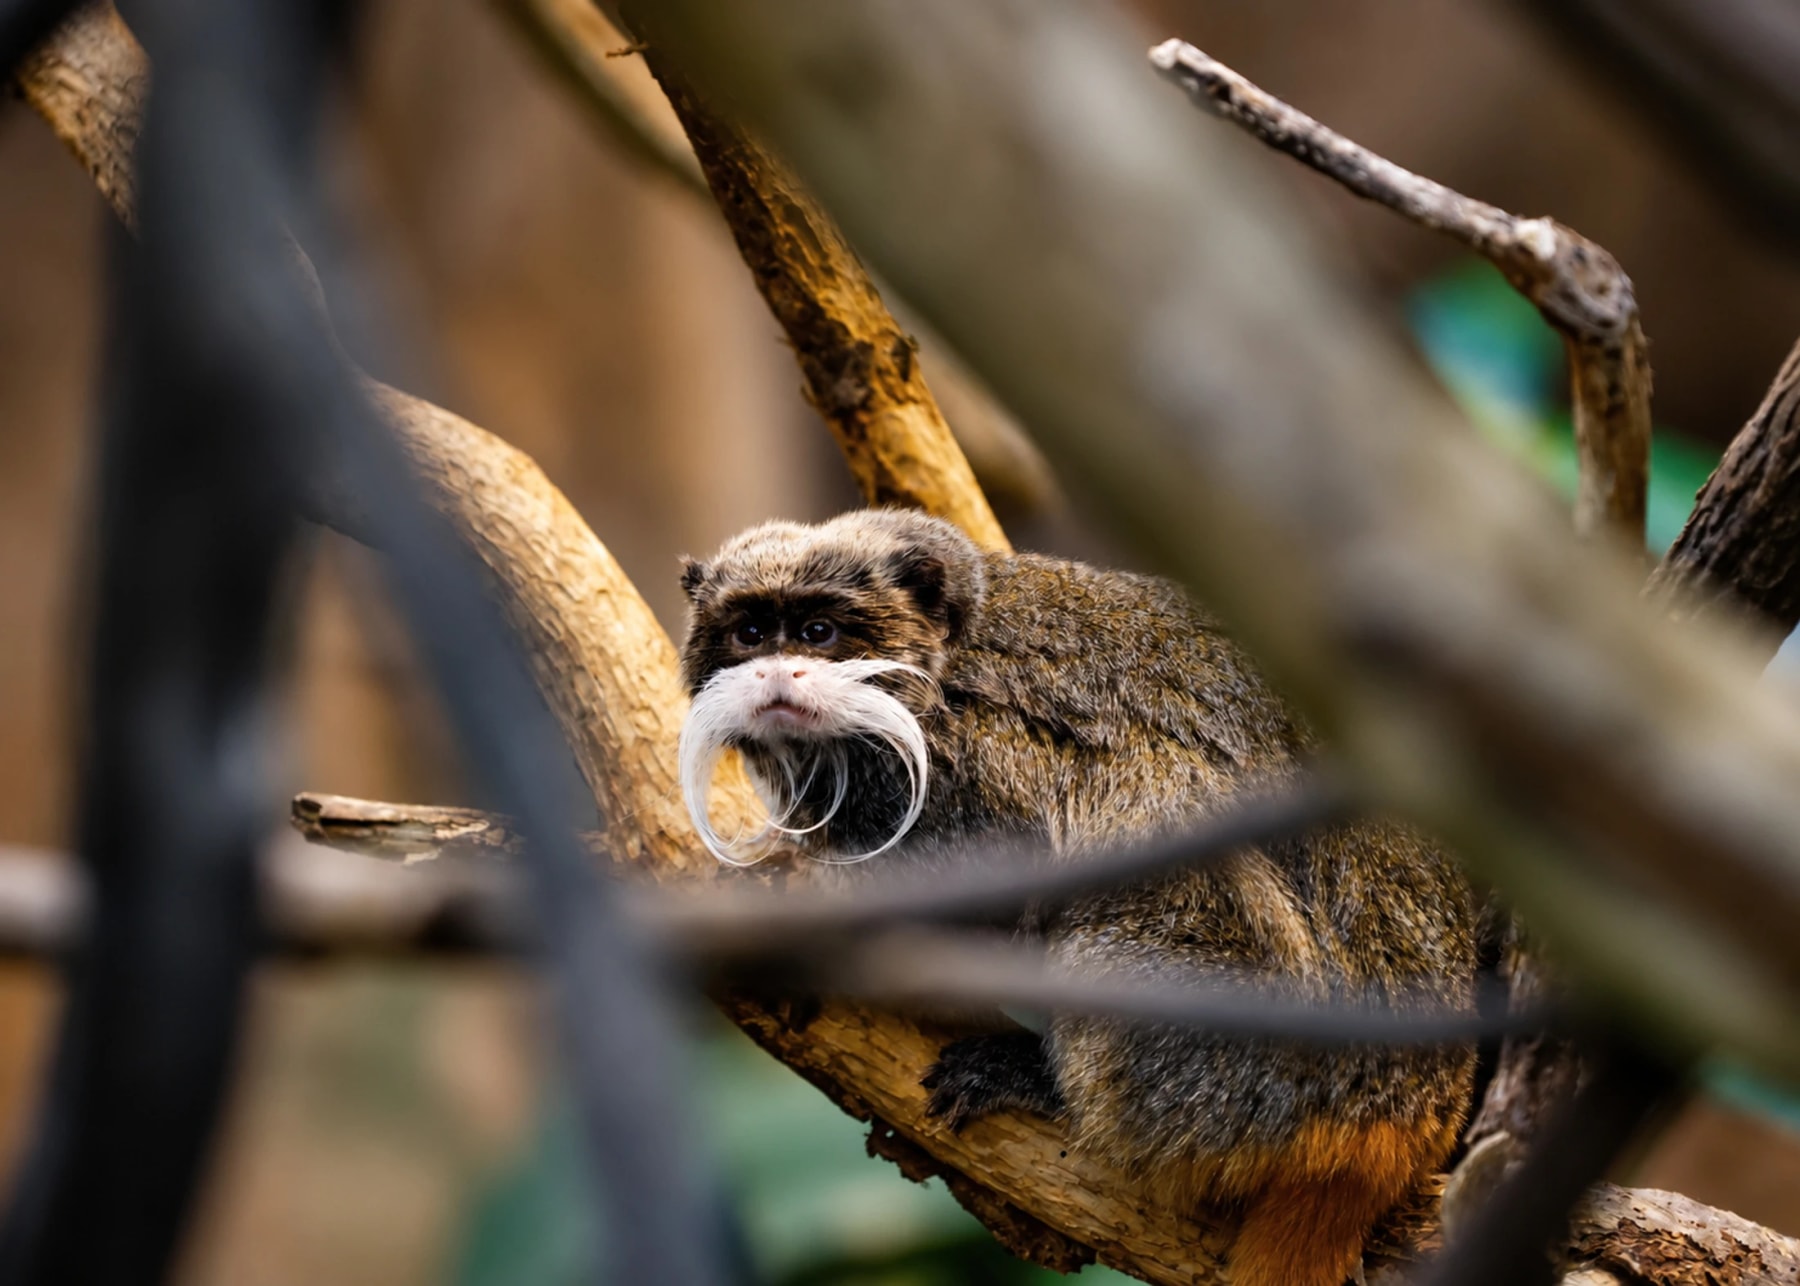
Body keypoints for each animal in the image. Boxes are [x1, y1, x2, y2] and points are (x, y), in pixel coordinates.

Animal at [677, 509, 1477, 1286]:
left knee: (1145, 798)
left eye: (819, 633)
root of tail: (1404, 1121)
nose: (778, 672)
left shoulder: (965, 758)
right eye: (751, 633)